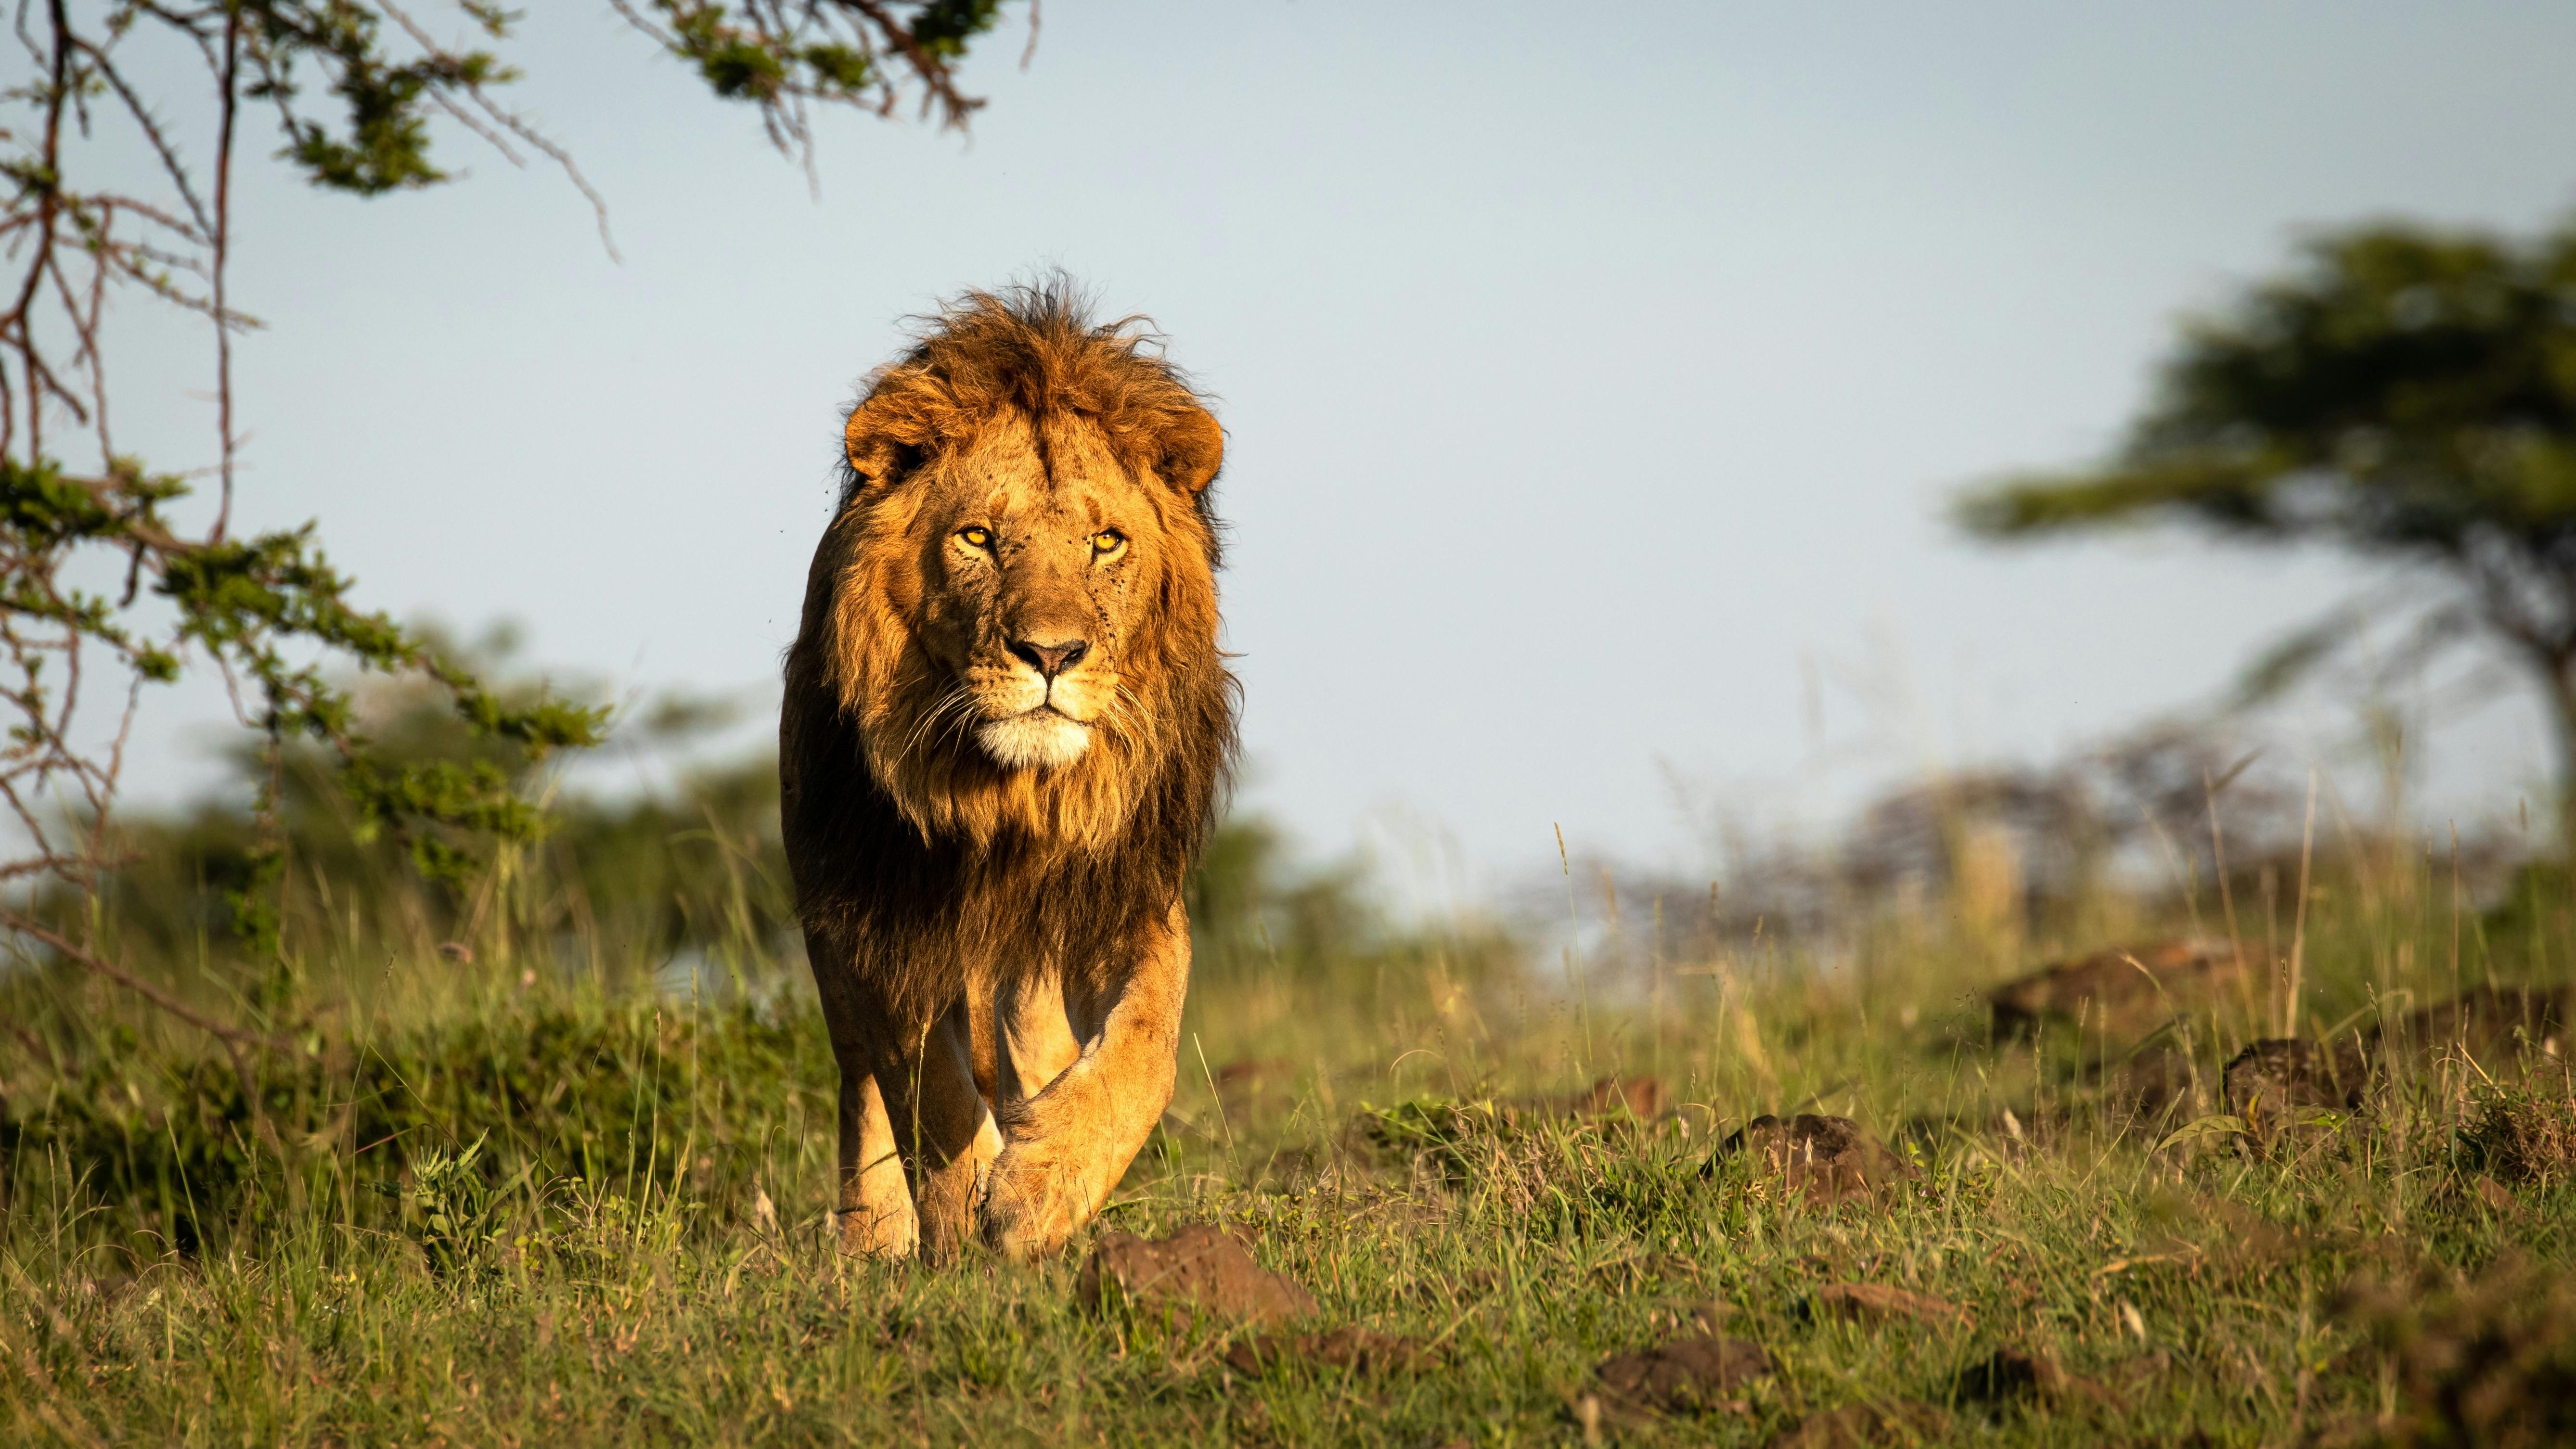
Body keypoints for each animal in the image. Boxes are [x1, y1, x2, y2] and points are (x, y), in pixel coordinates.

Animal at [779, 281, 1237, 1262]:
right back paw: (872, 1237)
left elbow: (1149, 1040)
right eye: (979, 538)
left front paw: (1043, 1185)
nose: (1052, 653)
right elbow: (926, 1085)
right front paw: (963, 1217)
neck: (1015, 798)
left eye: (1105, 543)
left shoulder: (1124, 885)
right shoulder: (883, 908)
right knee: (860, 1080)